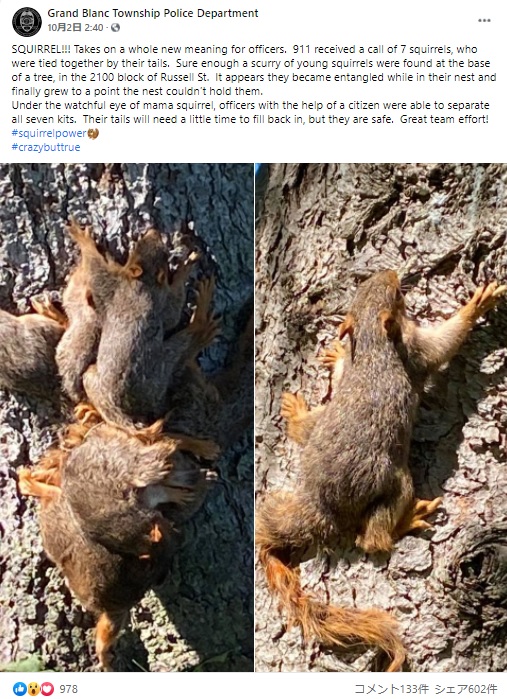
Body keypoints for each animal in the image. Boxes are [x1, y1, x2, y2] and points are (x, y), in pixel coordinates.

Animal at [258, 272, 507, 672]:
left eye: (368, 290)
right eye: (398, 296)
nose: (392, 273)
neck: (374, 342)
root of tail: (319, 508)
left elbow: (344, 367)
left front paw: (337, 354)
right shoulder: (415, 350)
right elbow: (444, 344)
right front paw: (477, 305)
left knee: (302, 431)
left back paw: (296, 412)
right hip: (393, 481)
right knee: (372, 538)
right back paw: (406, 520)